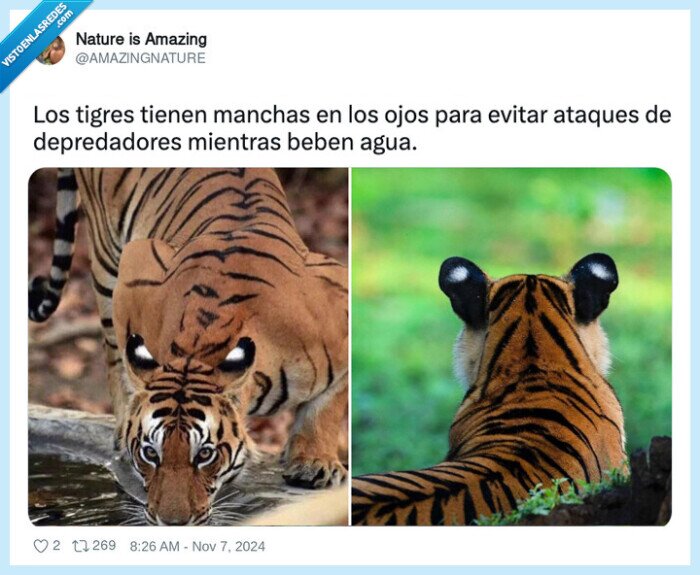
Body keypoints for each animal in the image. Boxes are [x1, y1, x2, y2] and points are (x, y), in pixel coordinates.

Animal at [28, 168, 348, 525]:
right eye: (150, 453)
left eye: (205, 454)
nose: (172, 522)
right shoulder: (138, 266)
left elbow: (327, 407)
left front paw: (314, 462)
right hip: (105, 260)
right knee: (113, 357)